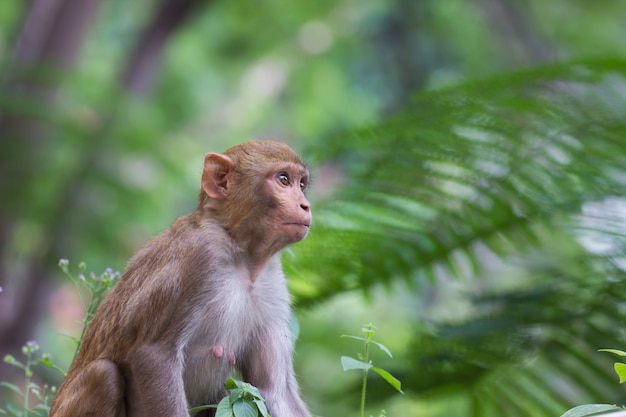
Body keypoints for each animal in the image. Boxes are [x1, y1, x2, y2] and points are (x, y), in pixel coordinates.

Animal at [50, 141, 312, 416]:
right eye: (283, 179)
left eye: (301, 184)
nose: (305, 205)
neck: (242, 255)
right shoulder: (199, 259)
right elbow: (155, 354)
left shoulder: (273, 282)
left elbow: (274, 392)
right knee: (104, 375)